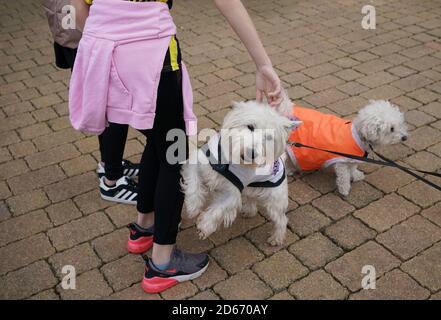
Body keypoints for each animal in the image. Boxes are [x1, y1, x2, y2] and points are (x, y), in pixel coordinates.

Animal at [179, 101, 300, 246]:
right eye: (250, 126)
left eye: (269, 137)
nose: (252, 153)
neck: (229, 161)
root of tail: (281, 158)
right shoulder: (198, 163)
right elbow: (193, 184)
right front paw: (193, 207)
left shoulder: (231, 192)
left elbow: (218, 209)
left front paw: (204, 226)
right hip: (252, 187)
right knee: (252, 200)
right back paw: (248, 212)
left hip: (275, 199)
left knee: (281, 219)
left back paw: (276, 239)